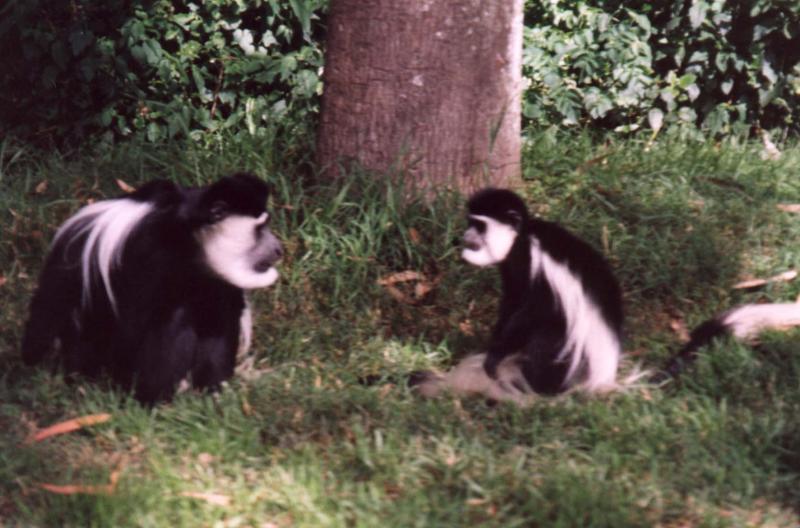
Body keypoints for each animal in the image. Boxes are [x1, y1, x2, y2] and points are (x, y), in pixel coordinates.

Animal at [20, 173, 282, 404]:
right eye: (260, 229)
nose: (279, 249)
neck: (190, 241)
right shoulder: (147, 249)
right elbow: (137, 324)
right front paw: (153, 398)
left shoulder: (216, 280)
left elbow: (221, 320)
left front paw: (212, 394)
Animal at [412, 189, 800, 404]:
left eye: (478, 225)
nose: (464, 238)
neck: (522, 238)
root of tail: (603, 377)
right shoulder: (512, 268)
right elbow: (511, 305)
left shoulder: (531, 261)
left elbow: (530, 313)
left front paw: (494, 359)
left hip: (570, 357)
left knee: (550, 332)